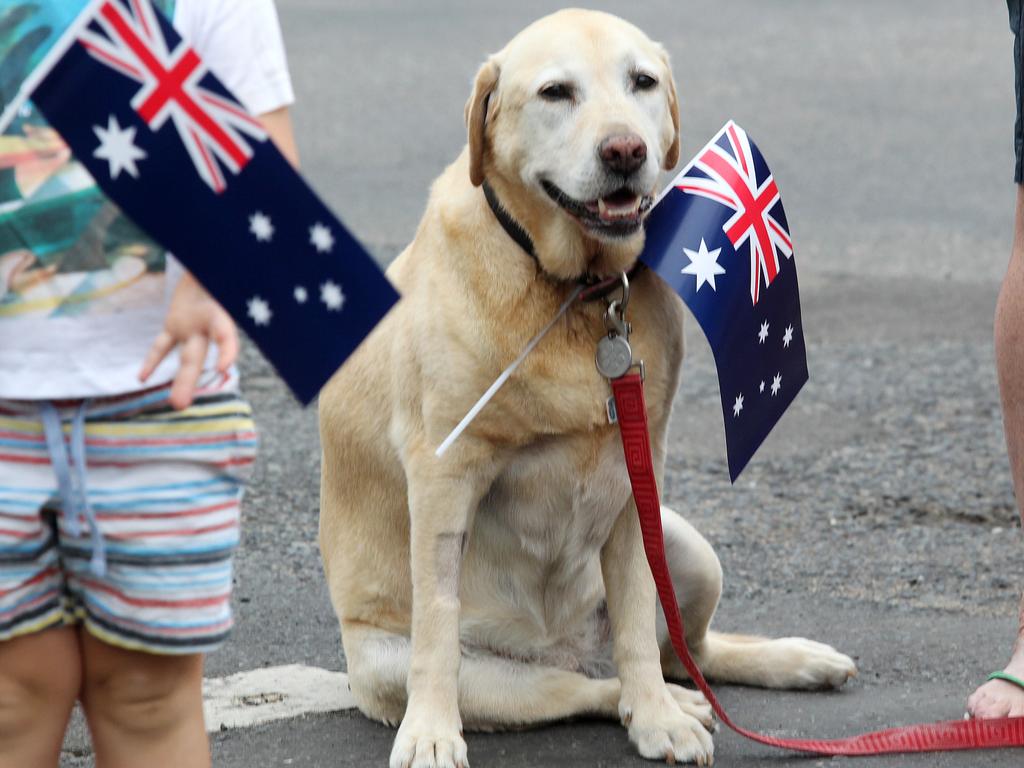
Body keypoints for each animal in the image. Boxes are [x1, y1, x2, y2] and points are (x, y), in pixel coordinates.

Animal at [321, 7, 856, 768]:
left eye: (643, 82)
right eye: (555, 92)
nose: (625, 150)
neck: (576, 291)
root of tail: (570, 649)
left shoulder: (637, 472)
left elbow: (634, 615)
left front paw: (660, 720)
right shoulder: (443, 474)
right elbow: (437, 626)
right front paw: (429, 731)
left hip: (690, 550)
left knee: (683, 652)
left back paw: (765, 669)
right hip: (451, 671)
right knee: (580, 689)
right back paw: (669, 700)